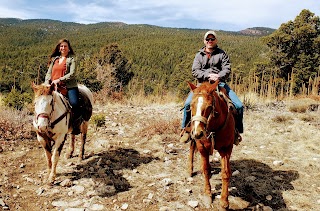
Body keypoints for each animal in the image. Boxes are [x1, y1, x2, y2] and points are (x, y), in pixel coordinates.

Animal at [188, 80, 235, 209]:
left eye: (209, 106)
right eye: (191, 105)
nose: (198, 133)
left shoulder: (226, 148)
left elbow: (225, 173)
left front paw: (224, 201)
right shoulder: (202, 147)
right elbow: (206, 169)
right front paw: (208, 193)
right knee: (191, 148)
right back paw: (190, 170)